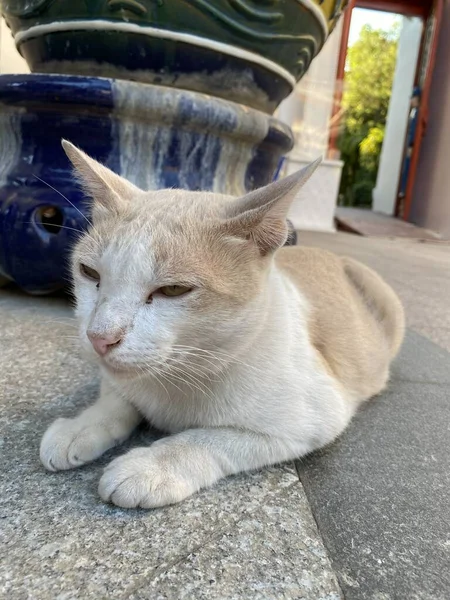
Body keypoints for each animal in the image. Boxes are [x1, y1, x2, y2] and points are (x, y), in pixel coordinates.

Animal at [39, 139, 404, 506]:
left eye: (173, 290)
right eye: (89, 273)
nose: (100, 337)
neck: (178, 377)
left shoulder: (311, 419)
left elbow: (209, 439)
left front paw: (152, 466)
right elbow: (115, 400)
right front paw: (81, 426)